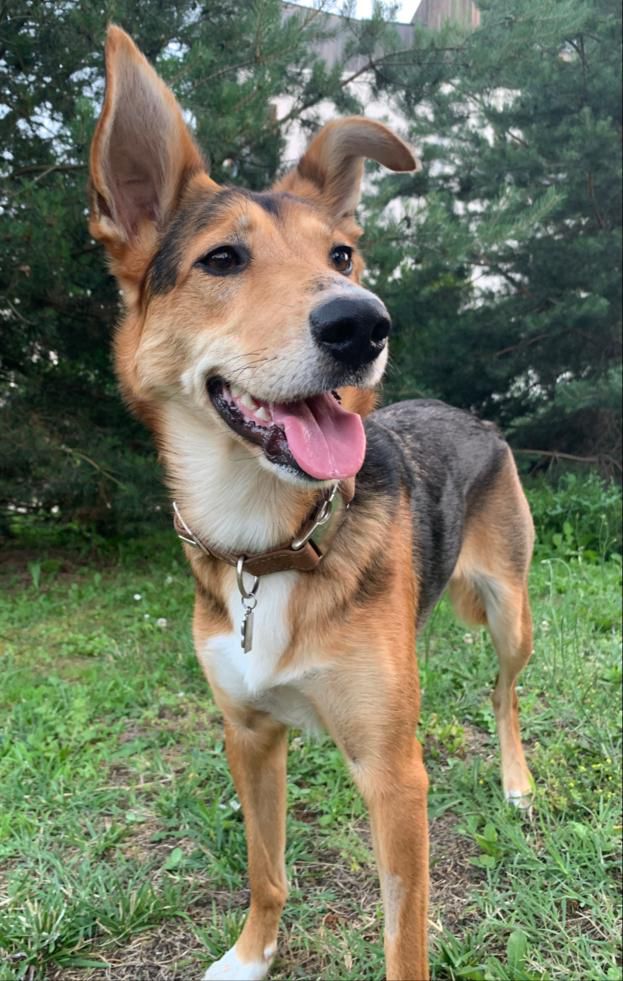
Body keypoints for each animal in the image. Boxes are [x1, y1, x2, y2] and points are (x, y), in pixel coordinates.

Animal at [90, 26, 540, 976]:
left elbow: (403, 935)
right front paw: (250, 953)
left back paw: (517, 781)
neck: (270, 541)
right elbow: (266, 869)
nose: (362, 322)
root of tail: (472, 412)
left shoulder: (393, 773)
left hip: (511, 610)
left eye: (339, 256)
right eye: (222, 259)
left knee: (505, 693)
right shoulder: (247, 735)